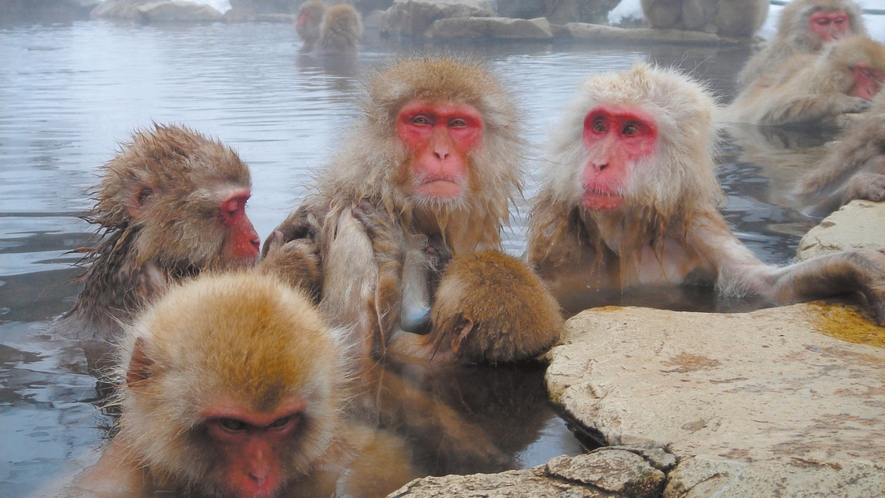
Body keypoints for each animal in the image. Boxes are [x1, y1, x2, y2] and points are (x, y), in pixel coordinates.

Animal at [524, 62, 885, 324]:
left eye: (629, 130)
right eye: (599, 126)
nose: (598, 163)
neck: (623, 234)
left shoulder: (698, 229)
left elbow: (764, 286)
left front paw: (858, 264)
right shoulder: (558, 247)